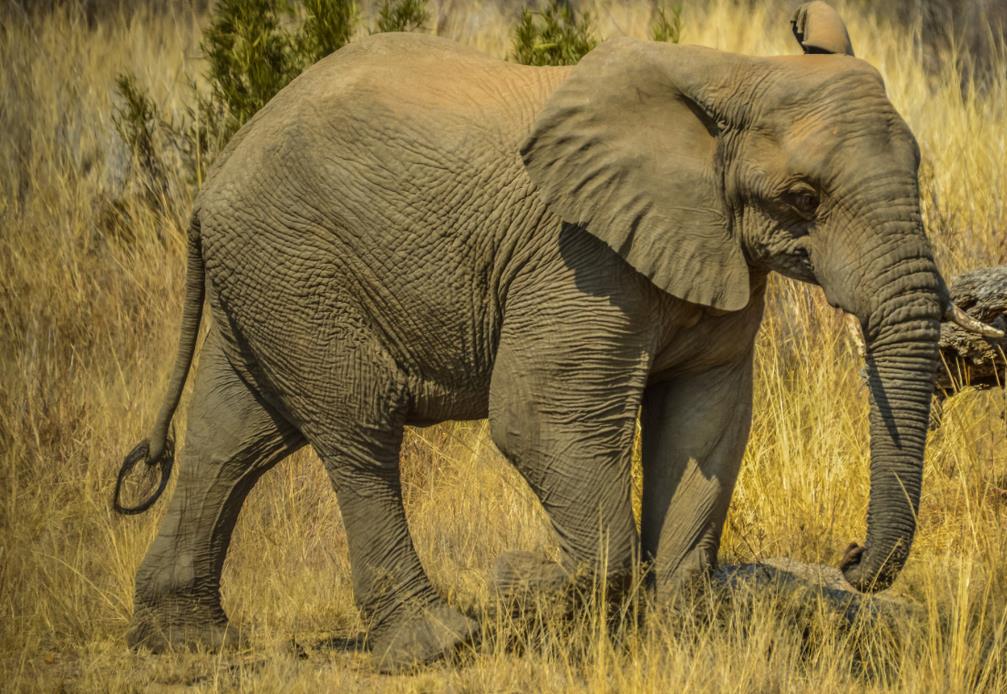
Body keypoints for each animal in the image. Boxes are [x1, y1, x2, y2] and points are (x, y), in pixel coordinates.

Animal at [112, 0, 998, 672]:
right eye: (803, 199)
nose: (848, 558)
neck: (727, 73)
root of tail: (210, 185)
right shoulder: (576, 260)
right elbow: (540, 418)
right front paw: (522, 583)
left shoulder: (715, 249)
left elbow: (706, 425)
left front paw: (682, 639)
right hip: (302, 271)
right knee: (355, 434)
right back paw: (438, 643)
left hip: (267, 278)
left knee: (234, 436)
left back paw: (185, 643)